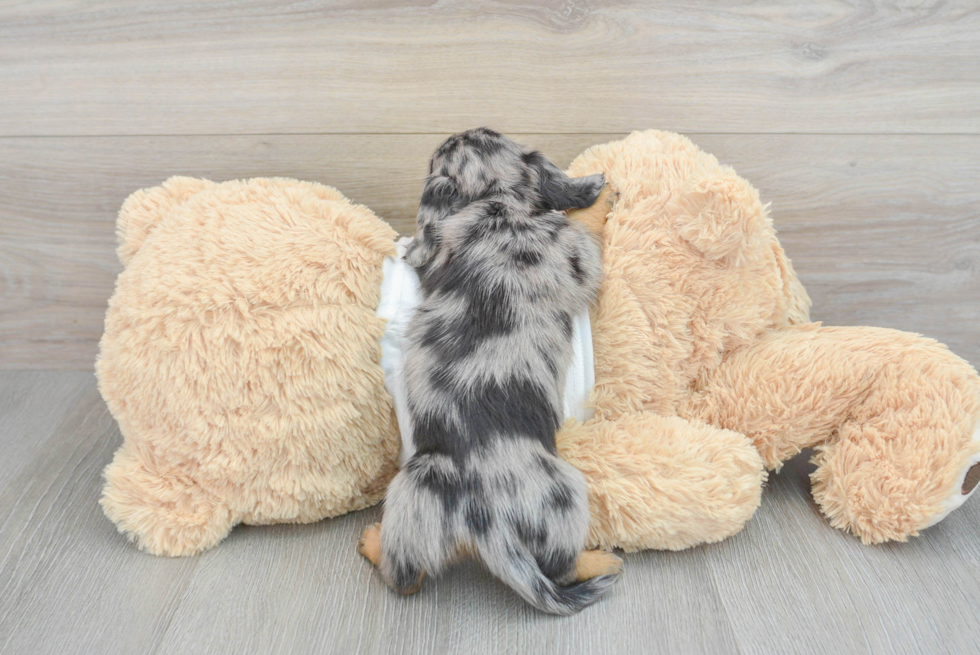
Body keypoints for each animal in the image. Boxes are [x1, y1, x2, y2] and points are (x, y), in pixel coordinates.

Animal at [358, 127, 620, 616]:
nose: (448, 134)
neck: (496, 203)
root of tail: (486, 522)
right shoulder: (576, 253)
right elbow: (587, 229)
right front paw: (600, 199)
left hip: (412, 490)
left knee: (408, 575)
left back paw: (374, 541)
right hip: (568, 493)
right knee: (559, 568)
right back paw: (601, 560)